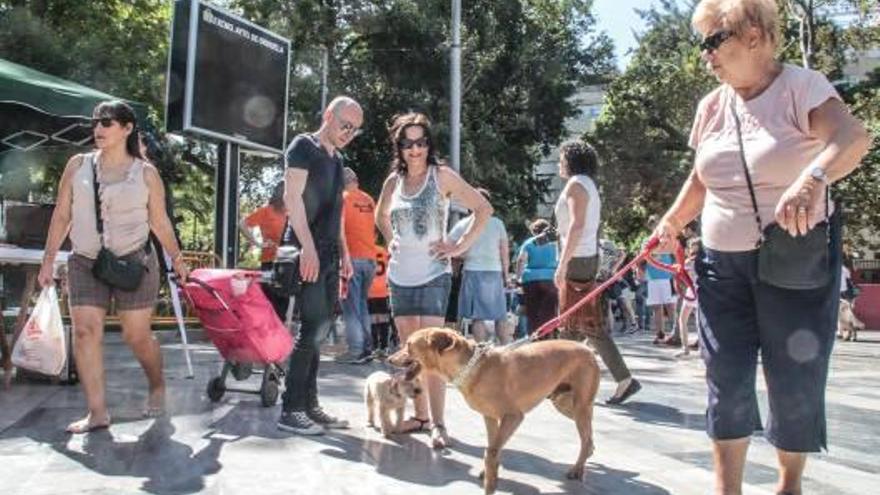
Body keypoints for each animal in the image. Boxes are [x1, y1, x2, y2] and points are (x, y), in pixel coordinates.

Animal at [390, 328, 600, 494]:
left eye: (409, 345)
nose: (388, 358)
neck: (472, 367)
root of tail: (589, 350)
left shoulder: (513, 417)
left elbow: (491, 451)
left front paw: (490, 482)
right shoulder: (490, 417)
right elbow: (493, 447)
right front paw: (489, 472)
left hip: (580, 406)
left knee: (586, 438)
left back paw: (577, 469)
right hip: (565, 403)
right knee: (589, 437)